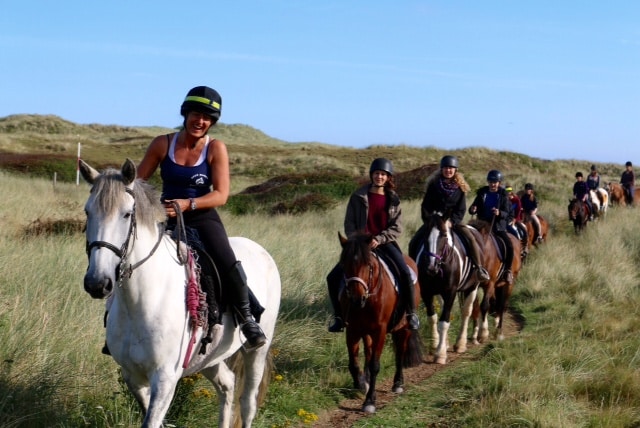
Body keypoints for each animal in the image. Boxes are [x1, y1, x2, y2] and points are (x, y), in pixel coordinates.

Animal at [80, 160, 280, 428]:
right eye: (87, 212)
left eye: (127, 214)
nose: (97, 283)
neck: (141, 302)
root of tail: (260, 249)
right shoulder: (133, 377)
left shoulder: (165, 378)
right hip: (209, 356)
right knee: (227, 385)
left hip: (257, 350)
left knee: (248, 403)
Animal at [338, 232, 422, 412]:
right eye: (343, 264)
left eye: (368, 265)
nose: (356, 299)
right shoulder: (353, 330)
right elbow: (354, 363)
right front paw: (361, 384)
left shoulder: (380, 331)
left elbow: (375, 365)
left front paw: (369, 401)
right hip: (367, 332)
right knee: (369, 353)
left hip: (404, 328)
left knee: (400, 352)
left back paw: (398, 383)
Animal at [412, 214, 482, 364]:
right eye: (425, 235)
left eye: (444, 235)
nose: (431, 267)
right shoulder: (426, 292)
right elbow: (432, 318)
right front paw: (435, 345)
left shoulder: (451, 292)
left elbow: (444, 322)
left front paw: (440, 354)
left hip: (473, 286)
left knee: (466, 312)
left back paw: (460, 344)